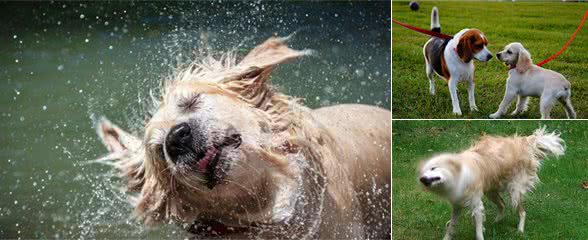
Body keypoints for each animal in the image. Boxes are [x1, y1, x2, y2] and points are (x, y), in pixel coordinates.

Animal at [418, 128, 564, 240]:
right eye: (423, 171)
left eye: (433, 168)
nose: (422, 179)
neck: (458, 174)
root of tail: (522, 142)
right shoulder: (457, 205)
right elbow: (452, 228)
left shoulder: (476, 206)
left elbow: (478, 233)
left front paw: (480, 230)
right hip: (491, 192)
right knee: (502, 205)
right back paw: (495, 223)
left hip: (514, 191)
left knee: (522, 212)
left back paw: (520, 230)